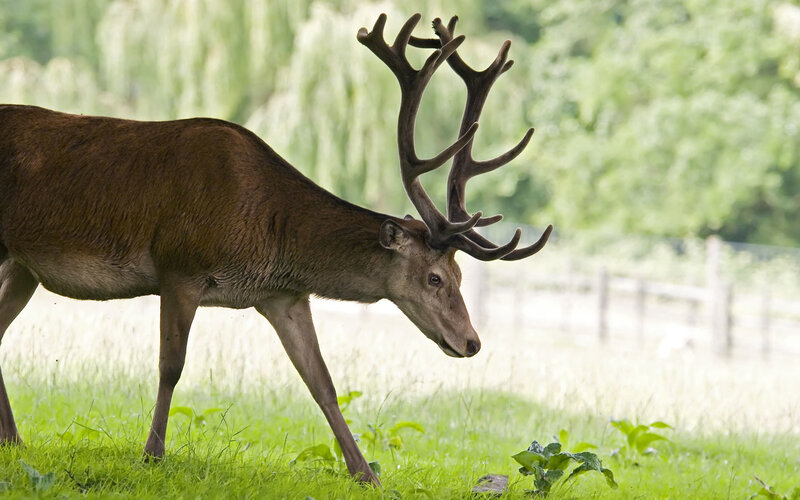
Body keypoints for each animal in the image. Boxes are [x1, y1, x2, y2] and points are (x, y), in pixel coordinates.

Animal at [0, 13, 550, 485]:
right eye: (434, 277)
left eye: (460, 277)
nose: (472, 342)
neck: (264, 236)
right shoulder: (179, 267)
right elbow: (171, 366)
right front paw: (152, 455)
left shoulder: (284, 296)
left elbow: (322, 381)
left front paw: (366, 474)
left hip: (25, 266)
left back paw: (16, 442)